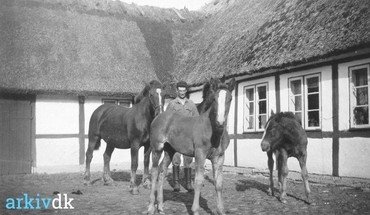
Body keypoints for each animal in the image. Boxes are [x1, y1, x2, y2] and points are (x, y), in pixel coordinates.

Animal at [147, 77, 234, 215]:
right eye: (214, 99)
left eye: (230, 98)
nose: (220, 122)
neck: (214, 131)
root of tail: (158, 117)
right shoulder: (200, 154)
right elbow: (198, 181)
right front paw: (195, 210)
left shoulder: (219, 157)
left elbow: (219, 183)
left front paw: (221, 210)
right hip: (157, 148)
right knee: (155, 171)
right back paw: (151, 207)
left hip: (169, 151)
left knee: (162, 171)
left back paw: (160, 206)